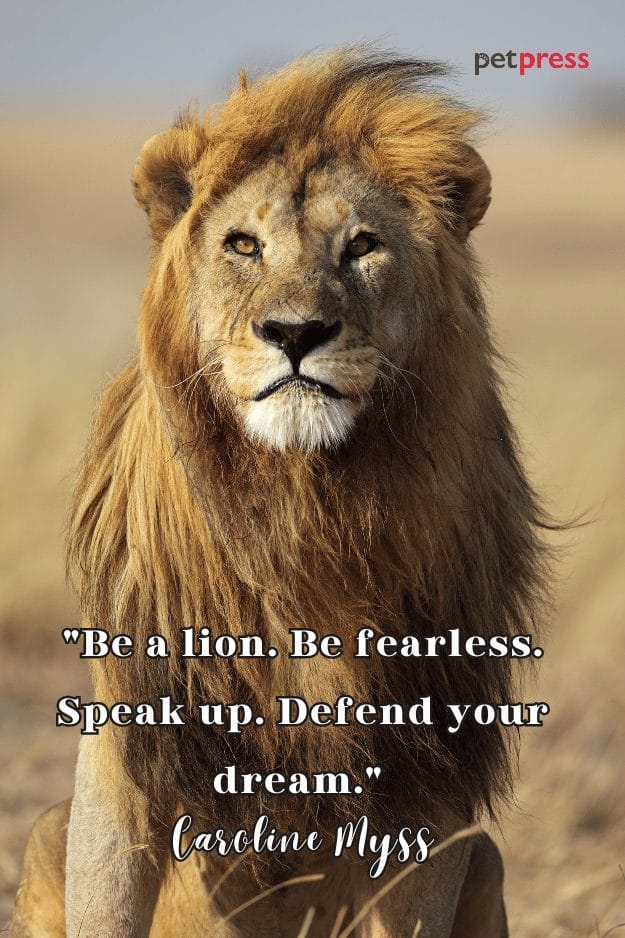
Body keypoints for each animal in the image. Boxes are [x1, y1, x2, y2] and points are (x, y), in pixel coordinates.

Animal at [10, 50, 545, 937]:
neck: (302, 510)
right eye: (242, 244)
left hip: (487, 856)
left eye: (362, 245)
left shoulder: (433, 770)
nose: (296, 333)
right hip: (50, 825)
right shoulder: (129, 735)